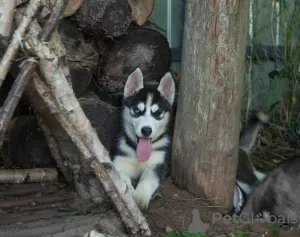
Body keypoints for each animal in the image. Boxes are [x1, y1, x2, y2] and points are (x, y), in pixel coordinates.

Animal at [111, 66, 175, 209]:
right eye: (136, 110)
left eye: (157, 113)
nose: (146, 130)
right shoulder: (119, 160)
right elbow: (120, 174)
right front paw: (128, 187)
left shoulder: (158, 164)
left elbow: (148, 179)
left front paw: (140, 196)